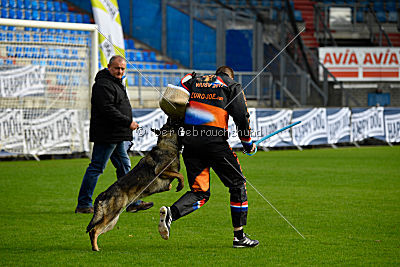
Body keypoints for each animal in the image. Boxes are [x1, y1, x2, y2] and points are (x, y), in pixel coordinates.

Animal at [86, 118, 184, 252]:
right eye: (168, 124)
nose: (169, 118)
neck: (167, 144)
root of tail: (104, 193)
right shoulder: (160, 171)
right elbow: (180, 175)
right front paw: (181, 184)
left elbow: (172, 181)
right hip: (112, 215)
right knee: (94, 230)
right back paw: (96, 248)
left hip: (112, 220)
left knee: (95, 231)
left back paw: (94, 247)